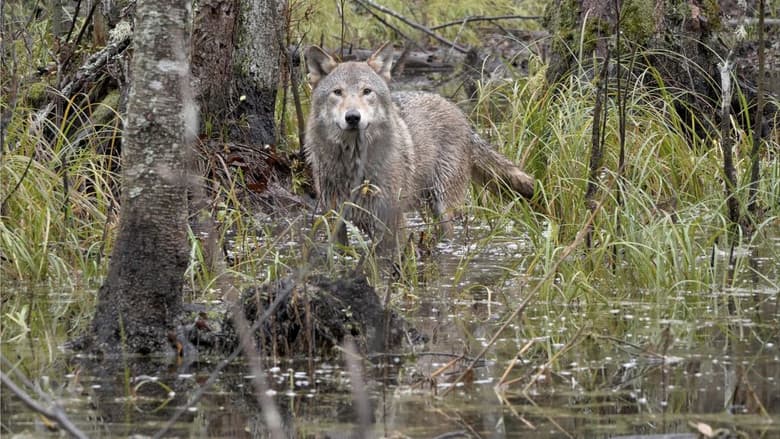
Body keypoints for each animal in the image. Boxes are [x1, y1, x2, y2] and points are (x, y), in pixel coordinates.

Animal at [304, 43, 534, 252]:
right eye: (337, 92)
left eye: (366, 91)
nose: (352, 117)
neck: (353, 161)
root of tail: (460, 114)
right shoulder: (334, 218)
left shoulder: (392, 218)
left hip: (443, 206)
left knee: (450, 236)